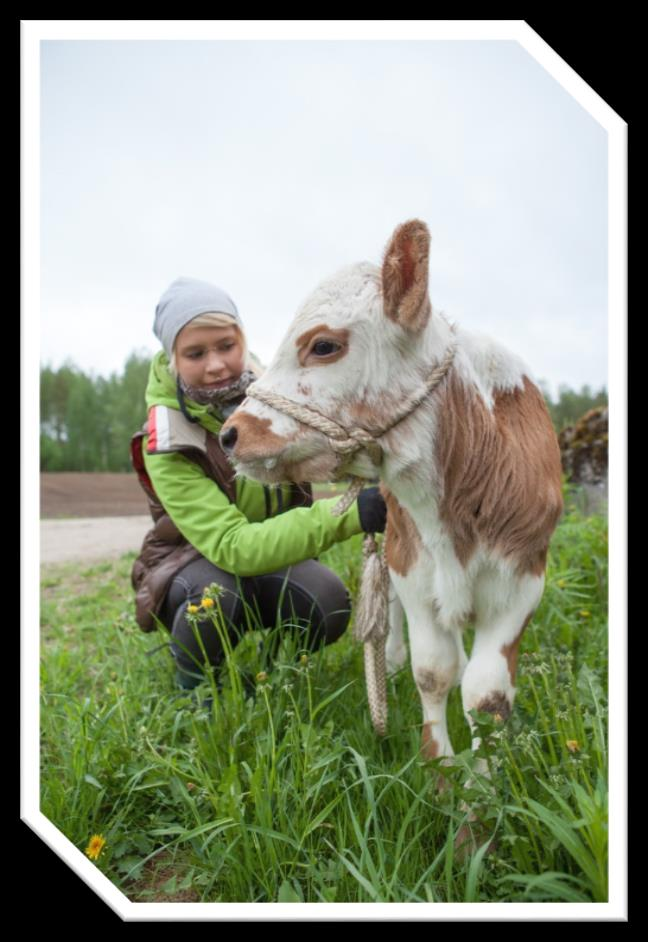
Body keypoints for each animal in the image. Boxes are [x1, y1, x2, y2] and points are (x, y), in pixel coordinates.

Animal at [221, 219, 560, 776]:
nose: (231, 434)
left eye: (323, 346)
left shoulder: (522, 580)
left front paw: (483, 784)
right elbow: (434, 671)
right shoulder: (413, 567)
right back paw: (394, 660)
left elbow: (486, 694)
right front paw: (440, 769)